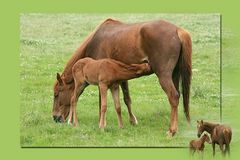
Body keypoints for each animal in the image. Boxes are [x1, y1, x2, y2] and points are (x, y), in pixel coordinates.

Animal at [51, 18, 192, 136]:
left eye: (56, 94)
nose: (55, 118)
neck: (96, 40)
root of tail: (178, 30)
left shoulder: (101, 80)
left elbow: (101, 102)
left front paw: (101, 123)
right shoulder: (121, 78)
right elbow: (126, 99)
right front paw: (132, 121)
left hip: (164, 75)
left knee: (173, 97)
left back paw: (171, 130)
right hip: (174, 74)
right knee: (177, 96)